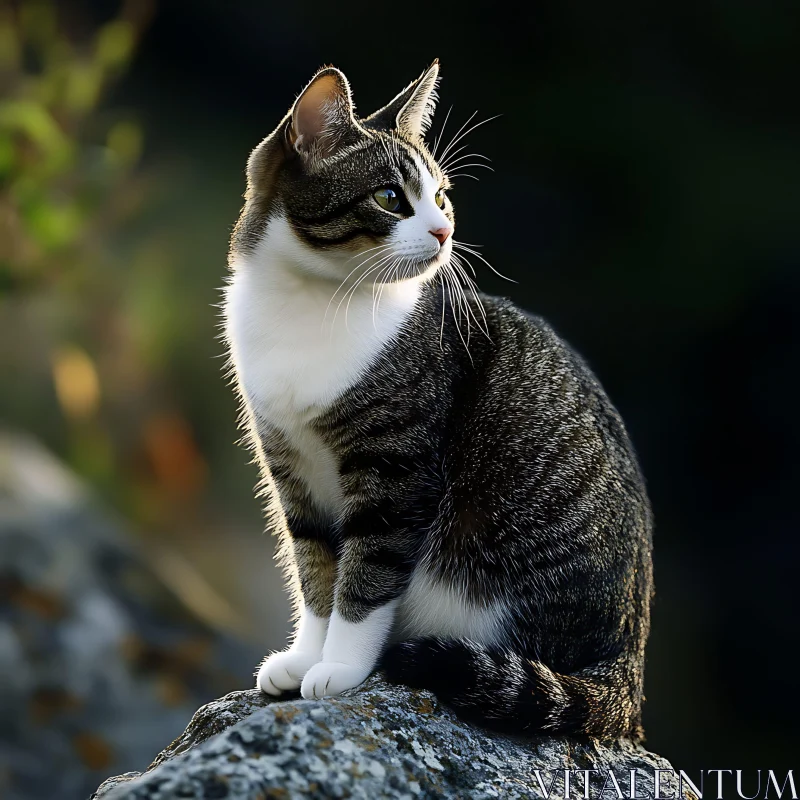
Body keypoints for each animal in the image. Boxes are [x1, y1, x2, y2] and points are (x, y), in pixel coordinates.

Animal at [222, 59, 652, 740]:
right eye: (390, 198)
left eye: (441, 197)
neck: (314, 302)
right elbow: (315, 568)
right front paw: (305, 655)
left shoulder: (398, 471)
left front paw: (339, 668)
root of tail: (626, 673)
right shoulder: (290, 465)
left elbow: (365, 577)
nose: (446, 230)